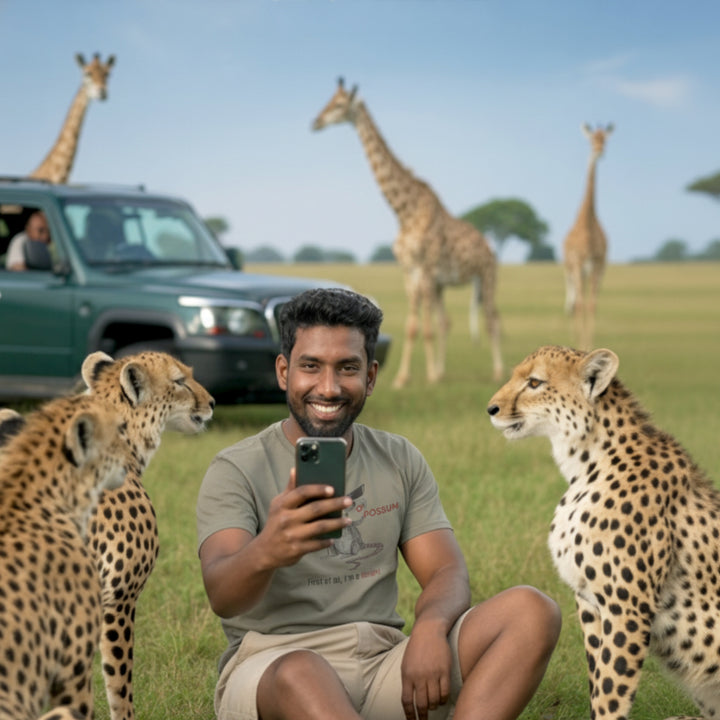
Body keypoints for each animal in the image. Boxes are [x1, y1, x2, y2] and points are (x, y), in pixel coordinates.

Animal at [312, 78, 503, 387]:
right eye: (328, 100)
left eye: (339, 105)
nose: (315, 121)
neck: (404, 212)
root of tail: (490, 250)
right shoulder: (409, 270)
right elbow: (413, 326)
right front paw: (405, 378)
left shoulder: (424, 269)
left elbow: (424, 328)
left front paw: (428, 378)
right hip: (443, 284)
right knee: (447, 321)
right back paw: (443, 371)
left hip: (486, 277)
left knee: (492, 319)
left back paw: (497, 372)